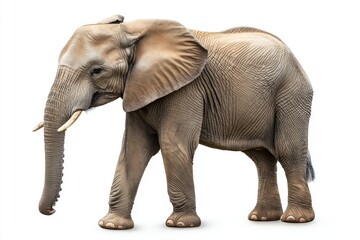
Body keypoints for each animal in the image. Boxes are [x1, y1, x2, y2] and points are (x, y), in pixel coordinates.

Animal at [33, 14, 316, 229]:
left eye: (96, 71)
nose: (51, 212)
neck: (133, 30)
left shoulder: (186, 89)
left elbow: (172, 145)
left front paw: (180, 224)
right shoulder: (139, 88)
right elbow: (134, 150)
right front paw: (112, 225)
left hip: (292, 94)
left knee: (288, 150)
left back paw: (295, 219)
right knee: (261, 157)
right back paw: (262, 218)